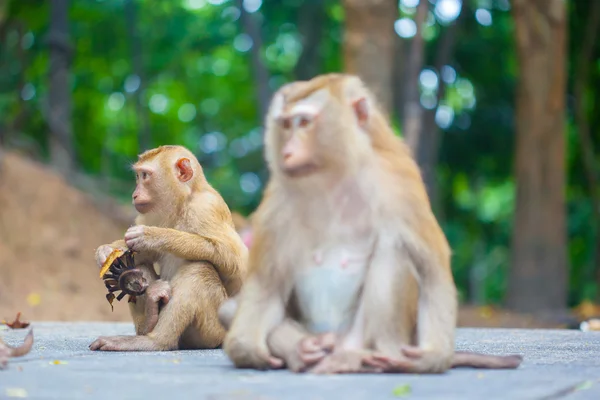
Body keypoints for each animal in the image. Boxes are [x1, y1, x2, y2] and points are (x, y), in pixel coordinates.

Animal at [89, 145, 248, 352]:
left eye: (145, 176)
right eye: (138, 176)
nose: (134, 194)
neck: (182, 203)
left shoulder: (207, 207)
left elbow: (236, 261)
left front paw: (152, 236)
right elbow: (140, 254)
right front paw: (107, 250)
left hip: (214, 331)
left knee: (199, 269)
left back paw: (154, 341)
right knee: (139, 263)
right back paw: (148, 319)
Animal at [218, 73, 524, 374]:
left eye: (304, 122)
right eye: (285, 125)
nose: (288, 151)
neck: (331, 177)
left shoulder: (399, 182)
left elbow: (432, 268)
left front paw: (432, 356)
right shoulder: (278, 199)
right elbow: (265, 281)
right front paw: (247, 348)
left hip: (363, 337)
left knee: (394, 251)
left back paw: (374, 356)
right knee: (230, 310)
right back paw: (301, 350)